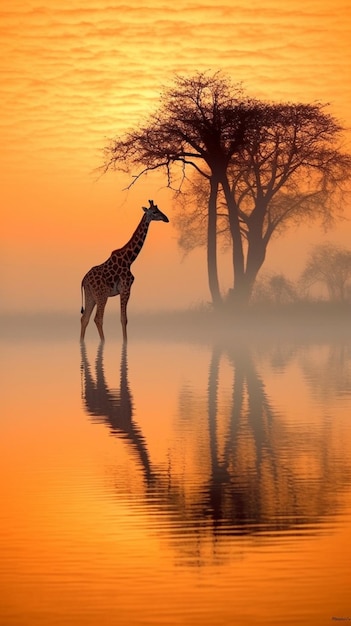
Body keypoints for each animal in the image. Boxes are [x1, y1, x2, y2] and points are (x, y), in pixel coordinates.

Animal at [81, 199, 169, 342]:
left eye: (159, 209)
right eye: (155, 212)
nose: (166, 218)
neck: (130, 260)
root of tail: (83, 280)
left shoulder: (123, 290)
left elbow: (123, 318)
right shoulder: (126, 289)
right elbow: (124, 319)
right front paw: (125, 342)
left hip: (91, 295)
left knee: (85, 318)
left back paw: (82, 341)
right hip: (101, 295)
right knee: (97, 318)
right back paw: (103, 342)